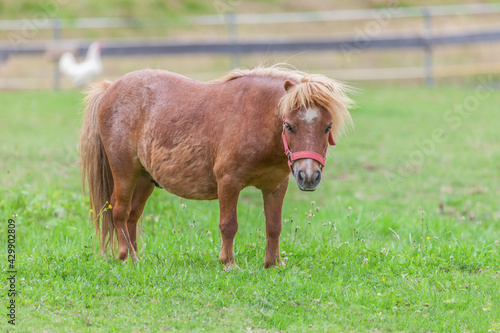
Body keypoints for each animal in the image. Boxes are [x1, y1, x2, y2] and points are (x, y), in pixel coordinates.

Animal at [80, 64, 352, 268]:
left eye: (327, 127)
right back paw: (127, 256)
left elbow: (274, 226)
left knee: (132, 216)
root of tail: (110, 89)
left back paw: (136, 257)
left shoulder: (276, 186)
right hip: (125, 172)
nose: (309, 176)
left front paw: (273, 264)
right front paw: (228, 263)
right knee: (119, 211)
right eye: (289, 125)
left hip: (145, 178)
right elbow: (228, 225)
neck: (255, 118)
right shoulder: (229, 182)